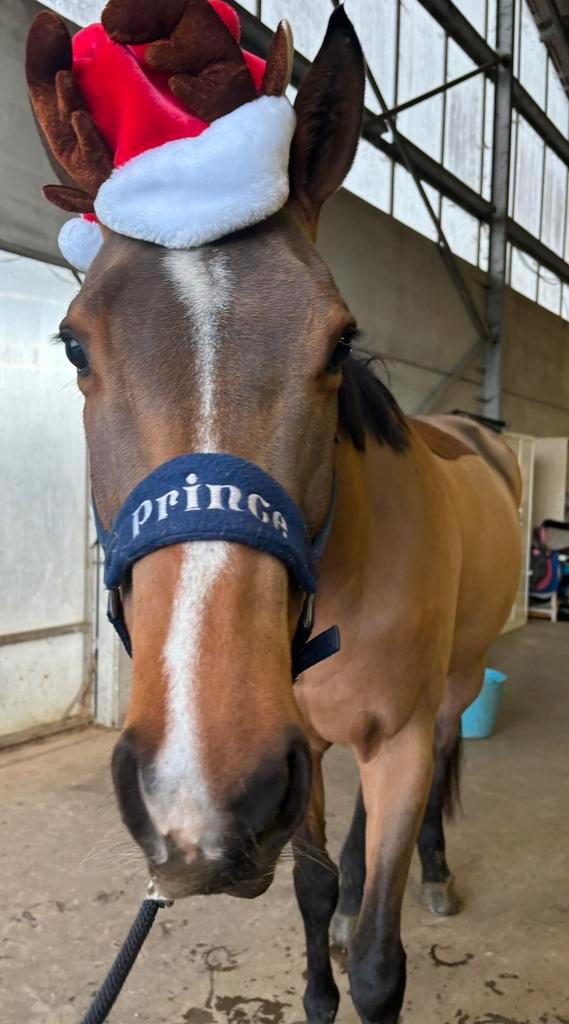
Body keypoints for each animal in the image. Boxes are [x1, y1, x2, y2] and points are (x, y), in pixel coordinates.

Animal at [26, 4, 521, 1022]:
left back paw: (434, 873)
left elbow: (378, 962)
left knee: (442, 758)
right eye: (74, 346)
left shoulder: (395, 740)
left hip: (451, 687)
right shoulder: (309, 755)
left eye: (339, 339)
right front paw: (323, 956)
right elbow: (316, 887)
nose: (201, 798)